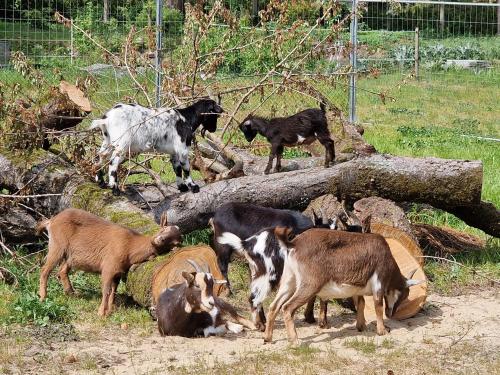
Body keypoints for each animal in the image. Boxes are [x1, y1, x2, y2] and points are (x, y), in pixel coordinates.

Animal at [36, 209, 182, 318]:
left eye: (174, 242)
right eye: (164, 229)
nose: (159, 239)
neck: (130, 247)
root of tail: (52, 221)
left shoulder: (118, 273)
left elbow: (113, 291)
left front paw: (110, 309)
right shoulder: (108, 266)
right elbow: (106, 290)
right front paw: (101, 312)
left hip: (70, 256)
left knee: (62, 270)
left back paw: (71, 293)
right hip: (57, 246)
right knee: (44, 269)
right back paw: (43, 297)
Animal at [90, 98, 223, 195]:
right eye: (215, 114)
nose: (214, 129)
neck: (187, 118)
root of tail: (106, 119)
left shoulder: (174, 153)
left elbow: (177, 170)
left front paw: (182, 187)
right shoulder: (183, 150)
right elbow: (186, 169)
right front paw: (193, 186)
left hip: (107, 142)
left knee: (99, 157)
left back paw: (100, 181)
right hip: (121, 144)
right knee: (113, 163)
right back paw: (115, 188)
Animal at [264, 226, 424, 346]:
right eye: (403, 294)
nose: (391, 313)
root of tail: (294, 244)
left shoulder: (358, 288)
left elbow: (361, 303)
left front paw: (361, 326)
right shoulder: (378, 284)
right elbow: (378, 306)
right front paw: (382, 331)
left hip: (289, 281)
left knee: (273, 306)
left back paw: (267, 338)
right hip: (309, 285)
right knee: (287, 307)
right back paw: (295, 341)